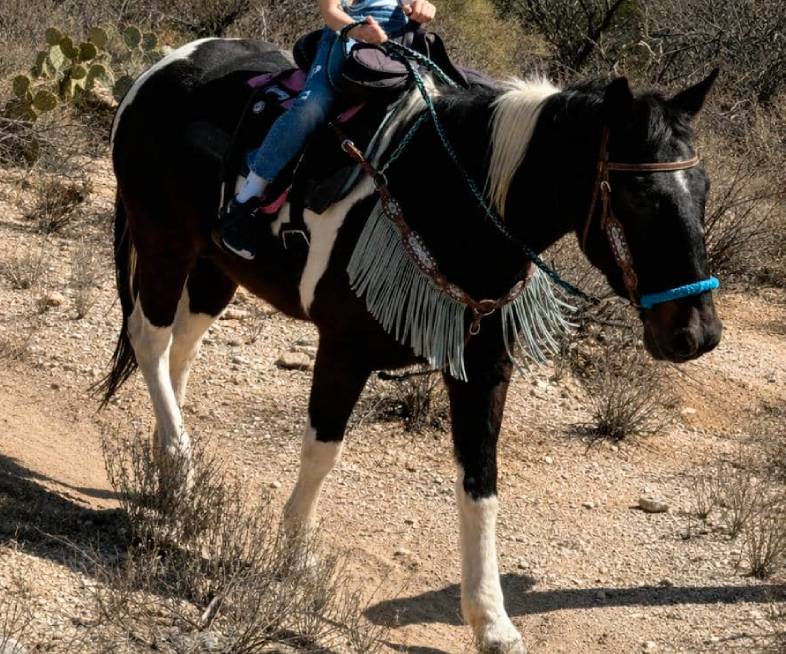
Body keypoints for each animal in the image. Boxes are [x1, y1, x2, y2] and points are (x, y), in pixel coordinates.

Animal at [100, 36, 722, 653]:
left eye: (704, 190)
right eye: (636, 195)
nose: (696, 333)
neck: (455, 208)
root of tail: (164, 66)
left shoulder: (484, 369)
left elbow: (481, 482)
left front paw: (491, 621)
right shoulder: (343, 351)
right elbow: (322, 452)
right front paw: (295, 555)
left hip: (216, 267)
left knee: (181, 347)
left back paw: (166, 460)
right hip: (163, 243)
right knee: (150, 339)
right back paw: (179, 464)